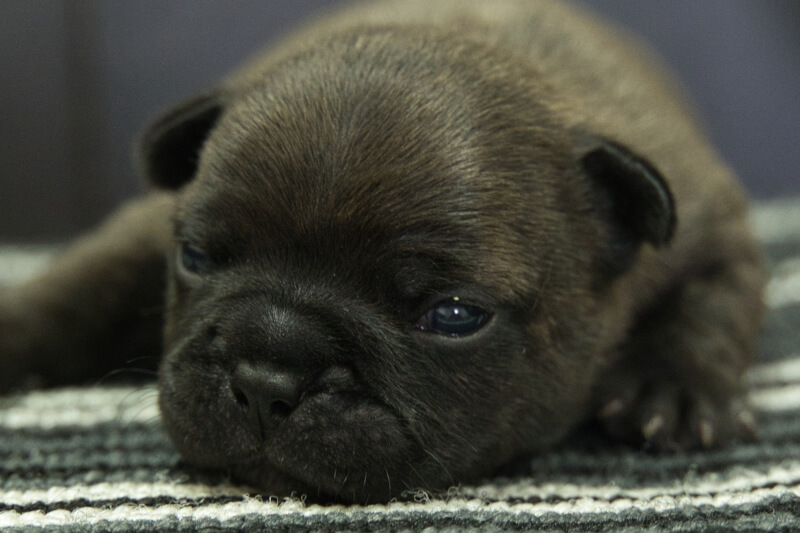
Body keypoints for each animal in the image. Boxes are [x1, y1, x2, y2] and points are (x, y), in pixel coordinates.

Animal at [0, 0, 764, 502]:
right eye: (193, 256)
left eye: (454, 316)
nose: (266, 378)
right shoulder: (145, 225)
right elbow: (80, 284)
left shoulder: (715, 223)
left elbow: (716, 302)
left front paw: (671, 385)